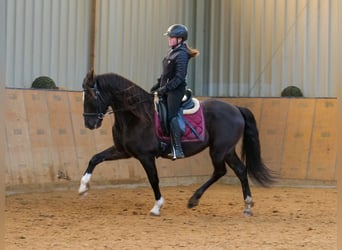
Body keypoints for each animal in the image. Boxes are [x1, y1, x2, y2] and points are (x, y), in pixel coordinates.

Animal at [79, 69, 272, 216]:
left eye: (91, 96)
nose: (89, 124)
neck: (137, 115)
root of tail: (236, 108)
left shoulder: (145, 156)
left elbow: (154, 179)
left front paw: (157, 207)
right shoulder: (123, 151)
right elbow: (95, 158)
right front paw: (83, 188)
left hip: (219, 150)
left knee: (220, 171)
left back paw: (194, 200)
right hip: (228, 150)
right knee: (240, 170)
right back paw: (247, 206)